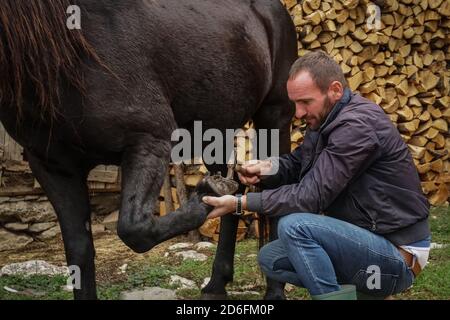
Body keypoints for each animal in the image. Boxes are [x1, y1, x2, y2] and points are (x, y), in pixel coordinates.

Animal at [0, 0, 298, 300]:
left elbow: (135, 229)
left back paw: (274, 291)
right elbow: (78, 251)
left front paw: (208, 194)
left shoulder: (149, 140)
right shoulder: (52, 165)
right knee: (236, 180)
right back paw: (216, 284)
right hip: (215, 129)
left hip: (275, 117)